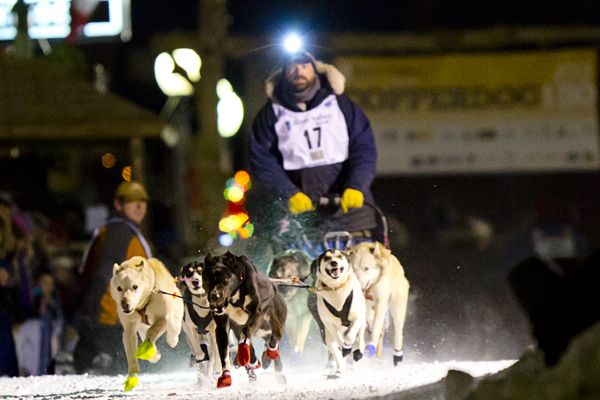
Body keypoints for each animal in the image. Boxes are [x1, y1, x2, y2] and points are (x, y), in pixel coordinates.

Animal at [108, 256, 183, 390]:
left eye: (135, 286)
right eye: (119, 288)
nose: (125, 304)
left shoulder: (162, 318)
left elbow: (153, 330)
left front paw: (147, 348)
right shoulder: (129, 329)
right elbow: (131, 354)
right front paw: (133, 377)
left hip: (174, 313)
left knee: (173, 328)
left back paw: (171, 340)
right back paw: (155, 354)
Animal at [202, 253, 288, 388]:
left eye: (224, 280)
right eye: (208, 281)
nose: (214, 296)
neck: (234, 295)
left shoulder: (257, 314)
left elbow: (246, 332)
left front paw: (244, 354)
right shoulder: (222, 325)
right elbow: (225, 353)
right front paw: (227, 375)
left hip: (276, 323)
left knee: (274, 339)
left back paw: (271, 357)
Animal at [314, 248, 366, 376]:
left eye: (339, 256)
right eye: (326, 258)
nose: (334, 263)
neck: (336, 288)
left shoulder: (357, 317)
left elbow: (350, 337)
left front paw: (348, 344)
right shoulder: (328, 323)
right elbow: (338, 339)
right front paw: (344, 347)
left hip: (362, 321)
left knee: (360, 338)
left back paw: (358, 351)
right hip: (328, 338)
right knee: (337, 355)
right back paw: (338, 371)